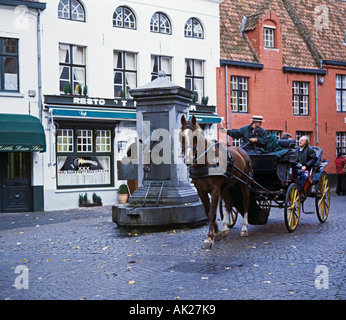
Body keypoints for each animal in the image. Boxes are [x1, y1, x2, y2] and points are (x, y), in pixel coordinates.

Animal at [181, 115, 251, 250]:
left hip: (244, 183)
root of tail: (242, 151)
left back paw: (244, 229)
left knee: (245, 203)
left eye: (195, 137)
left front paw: (209, 238)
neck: (204, 164)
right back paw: (225, 228)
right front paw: (217, 233)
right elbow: (208, 211)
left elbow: (212, 213)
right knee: (229, 203)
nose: (188, 159)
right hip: (225, 187)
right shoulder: (201, 191)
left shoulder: (214, 189)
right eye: (182, 136)